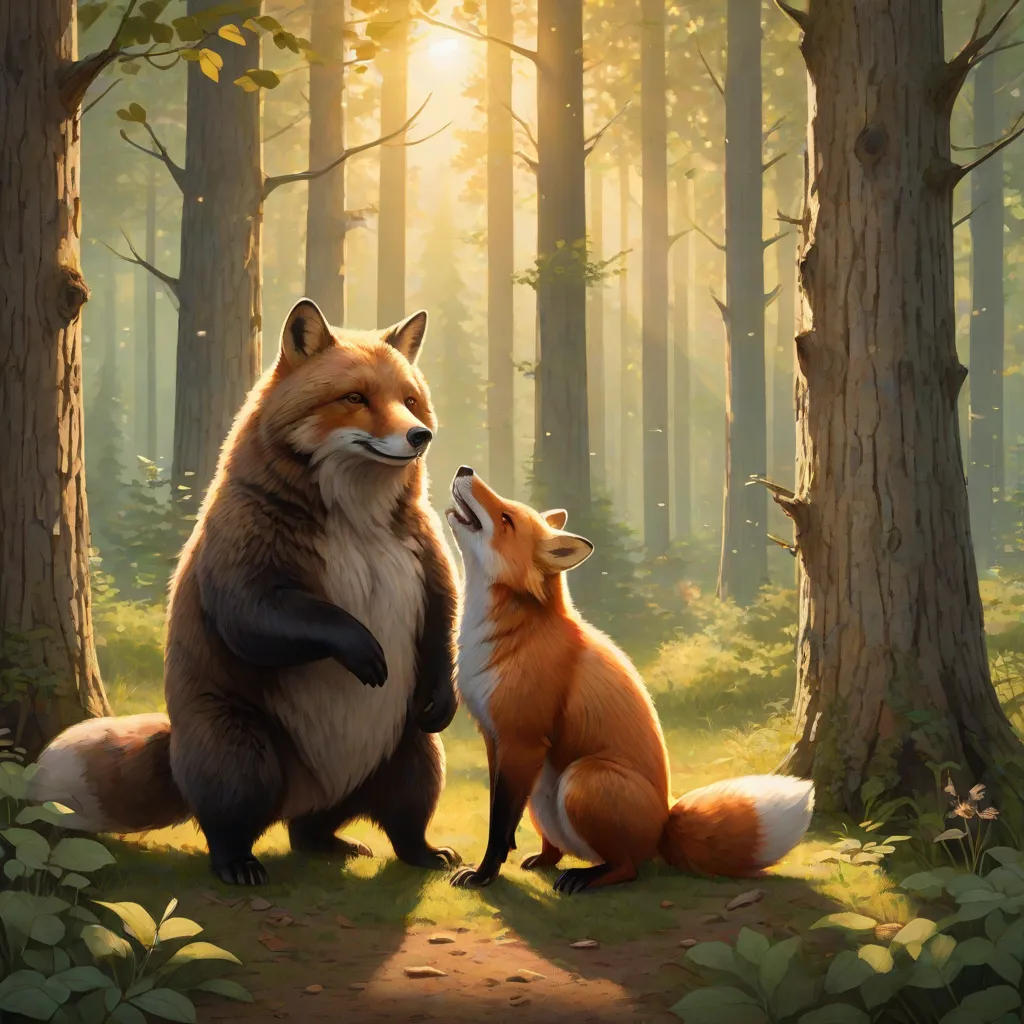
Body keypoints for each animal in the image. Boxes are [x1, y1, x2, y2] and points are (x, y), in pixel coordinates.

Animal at [32, 299, 461, 885]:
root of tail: (311, 792)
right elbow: (265, 620)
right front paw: (366, 654)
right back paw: (239, 865)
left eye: (410, 400)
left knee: (380, 822)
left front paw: (445, 697)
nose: (421, 436)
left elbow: (444, 627)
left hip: (411, 749)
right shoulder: (244, 567)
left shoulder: (426, 565)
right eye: (355, 397)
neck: (357, 523)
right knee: (228, 823)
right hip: (241, 749)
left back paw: (406, 851)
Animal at [444, 467, 814, 894]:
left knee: (628, 867)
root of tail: (664, 827)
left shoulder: (522, 739)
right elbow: (497, 812)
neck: (509, 636)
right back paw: (544, 859)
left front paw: (485, 873)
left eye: (506, 518)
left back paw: (585, 877)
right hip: (543, 791)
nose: (464, 470)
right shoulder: (495, 738)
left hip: (583, 778)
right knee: (560, 848)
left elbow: (499, 821)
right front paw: (496, 863)